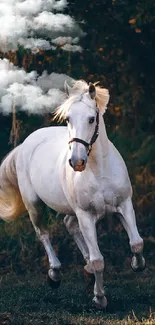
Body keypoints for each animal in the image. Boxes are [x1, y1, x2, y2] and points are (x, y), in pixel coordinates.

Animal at [0, 79, 145, 308]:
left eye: (92, 119)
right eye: (68, 119)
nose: (77, 162)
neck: (99, 170)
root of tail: (25, 144)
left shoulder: (124, 205)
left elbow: (137, 244)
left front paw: (136, 264)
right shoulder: (85, 214)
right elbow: (98, 260)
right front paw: (99, 298)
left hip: (70, 209)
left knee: (69, 225)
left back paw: (85, 269)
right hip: (34, 205)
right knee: (43, 234)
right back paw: (55, 274)